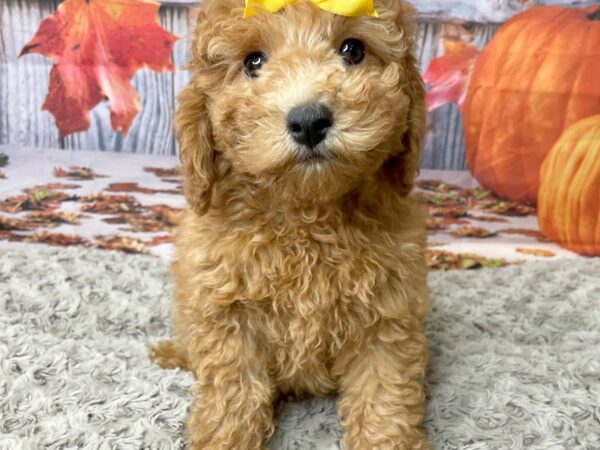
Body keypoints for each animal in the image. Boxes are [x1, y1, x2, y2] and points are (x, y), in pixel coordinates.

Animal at [151, 1, 432, 448]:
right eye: (253, 62)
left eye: (353, 50)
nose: (310, 120)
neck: (306, 214)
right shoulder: (226, 316)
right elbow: (232, 397)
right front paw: (223, 438)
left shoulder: (387, 317)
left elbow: (384, 397)